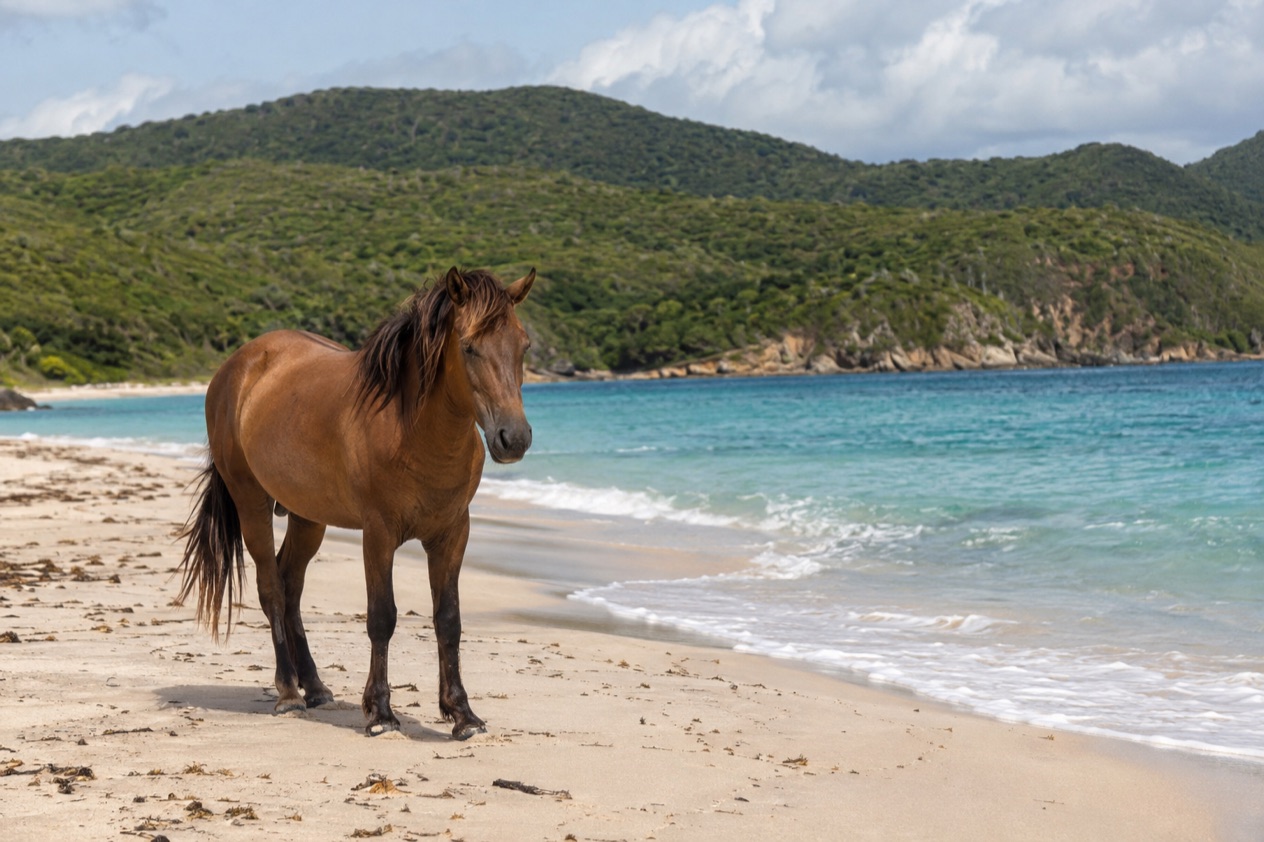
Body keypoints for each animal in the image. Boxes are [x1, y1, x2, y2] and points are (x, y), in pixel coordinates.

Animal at [178, 265, 535, 739]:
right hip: (251, 502)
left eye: (523, 345)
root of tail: (234, 369)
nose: (514, 438)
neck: (411, 430)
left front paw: (462, 714)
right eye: (470, 347)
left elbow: (449, 620)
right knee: (272, 588)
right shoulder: (378, 534)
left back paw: (315, 687)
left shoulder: (452, 533)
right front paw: (380, 712)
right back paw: (288, 692)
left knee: (291, 586)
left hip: (307, 517)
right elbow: (382, 617)